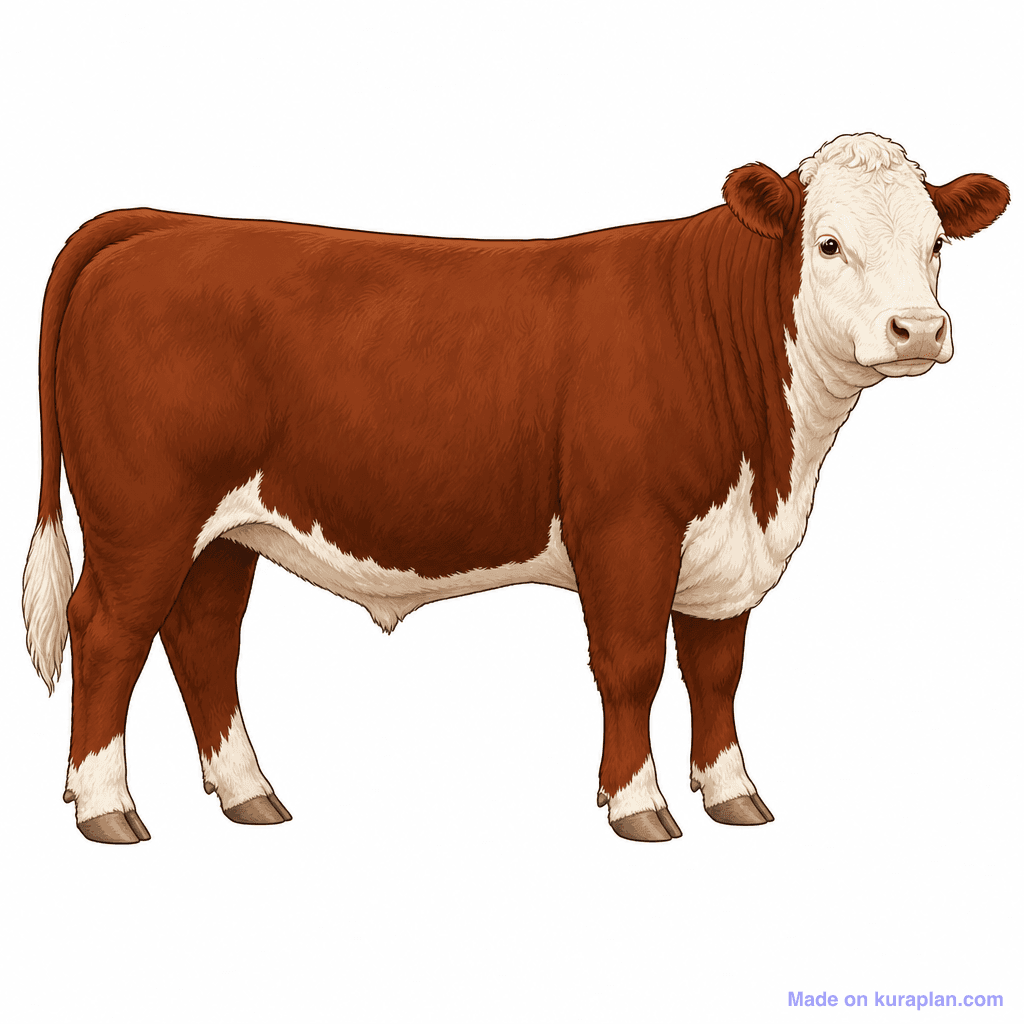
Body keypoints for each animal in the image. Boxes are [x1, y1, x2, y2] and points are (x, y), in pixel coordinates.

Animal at [23, 133, 1008, 844]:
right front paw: (638, 806)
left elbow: (718, 670)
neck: (776, 466)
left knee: (202, 640)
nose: (919, 328)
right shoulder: (625, 526)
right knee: (107, 632)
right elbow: (632, 666)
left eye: (936, 244)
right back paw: (107, 808)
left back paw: (248, 793)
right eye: (829, 243)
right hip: (144, 517)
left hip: (224, 530)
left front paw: (733, 793)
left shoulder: (725, 545)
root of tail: (161, 224)